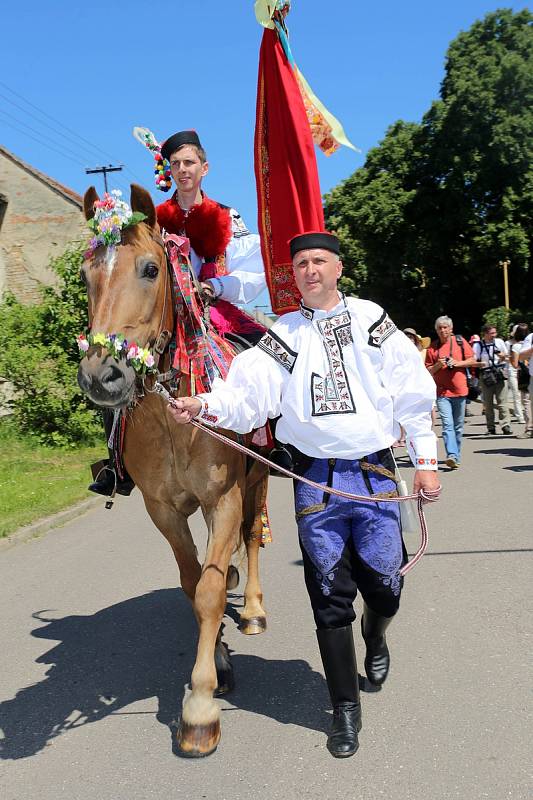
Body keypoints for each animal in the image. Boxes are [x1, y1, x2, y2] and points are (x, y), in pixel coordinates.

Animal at [77, 184, 268, 760]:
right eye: (86, 275)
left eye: (150, 268)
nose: (102, 376)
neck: (172, 417)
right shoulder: (162, 509)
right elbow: (193, 583)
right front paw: (220, 663)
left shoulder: (224, 497)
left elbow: (208, 591)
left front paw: (200, 708)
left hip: (257, 483)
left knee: (252, 538)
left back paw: (253, 609)